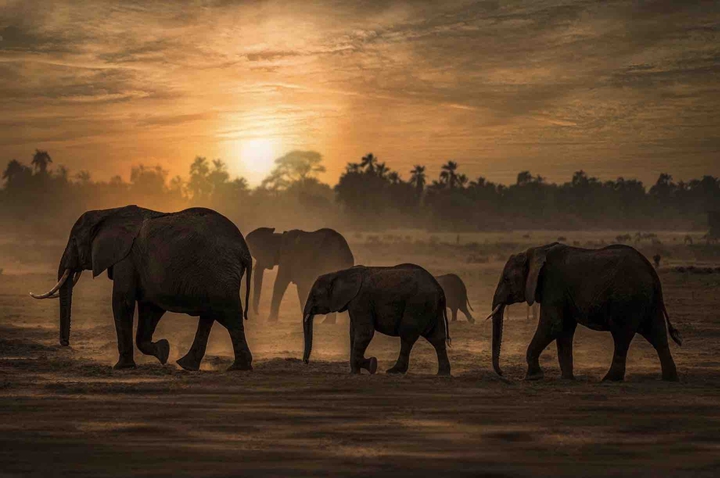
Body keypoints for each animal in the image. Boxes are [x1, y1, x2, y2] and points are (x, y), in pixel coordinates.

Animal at [29, 206, 253, 372]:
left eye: (74, 241)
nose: (65, 343)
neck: (107, 213)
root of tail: (245, 251)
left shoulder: (126, 259)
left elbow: (122, 302)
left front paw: (122, 367)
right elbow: (149, 308)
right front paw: (163, 352)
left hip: (220, 271)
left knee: (229, 314)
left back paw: (238, 368)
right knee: (210, 315)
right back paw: (187, 365)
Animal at [302, 264, 451, 375]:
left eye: (314, 296)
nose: (306, 362)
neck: (340, 273)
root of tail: (440, 289)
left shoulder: (361, 300)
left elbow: (365, 333)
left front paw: (371, 364)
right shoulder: (355, 303)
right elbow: (354, 333)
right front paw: (355, 372)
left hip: (417, 305)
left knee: (407, 336)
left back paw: (394, 371)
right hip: (430, 308)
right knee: (437, 338)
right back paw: (443, 374)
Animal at [487, 243, 682, 382]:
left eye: (506, 279)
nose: (503, 374)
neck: (536, 251)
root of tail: (651, 270)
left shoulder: (553, 285)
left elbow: (552, 324)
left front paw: (533, 377)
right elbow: (564, 329)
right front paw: (567, 379)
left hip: (627, 299)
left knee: (622, 336)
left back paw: (609, 379)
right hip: (647, 300)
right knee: (657, 334)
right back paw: (669, 379)